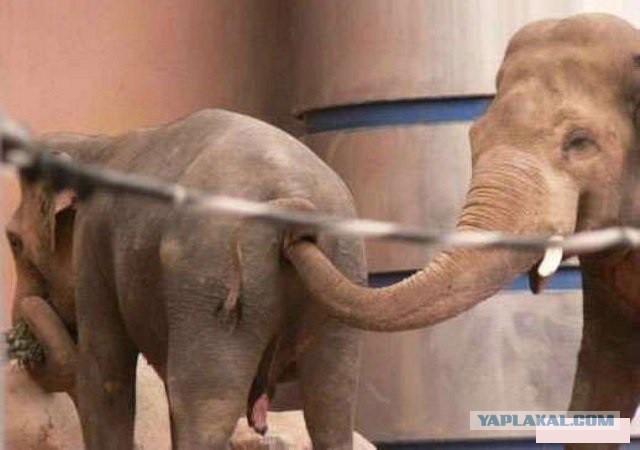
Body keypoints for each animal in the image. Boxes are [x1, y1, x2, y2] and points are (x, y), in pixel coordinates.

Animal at [2, 109, 366, 449]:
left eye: (14, 241)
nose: (18, 339)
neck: (94, 144)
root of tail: (293, 201)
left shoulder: (94, 245)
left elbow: (104, 373)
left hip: (210, 273)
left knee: (204, 407)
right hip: (341, 276)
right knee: (331, 402)